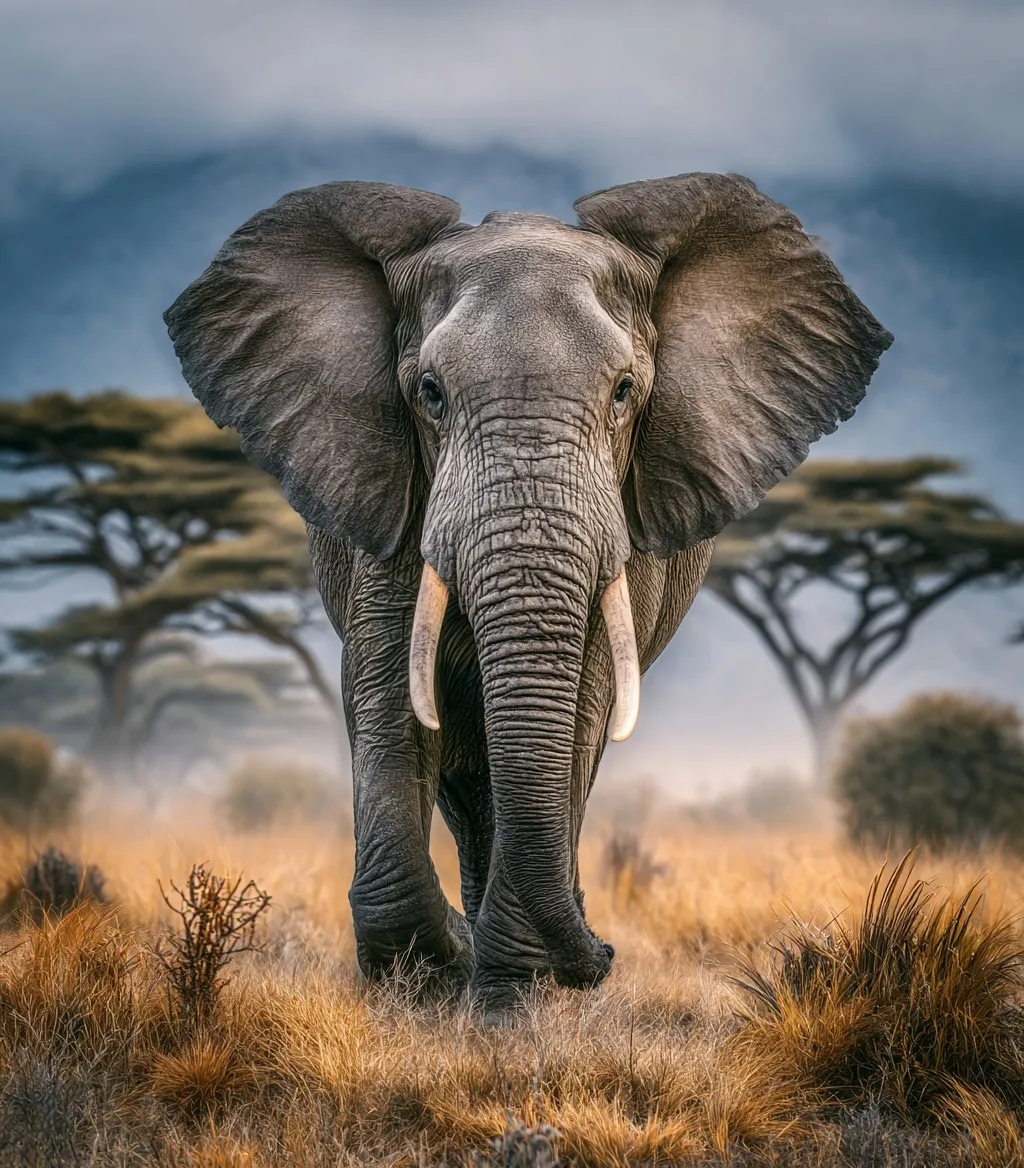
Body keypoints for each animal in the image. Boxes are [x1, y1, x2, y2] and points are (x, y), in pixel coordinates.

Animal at [164, 172, 892, 1017]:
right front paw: (434, 973)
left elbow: (579, 707)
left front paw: (510, 998)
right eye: (430, 393)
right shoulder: (390, 493)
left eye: (624, 391)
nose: (604, 955)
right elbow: (387, 690)